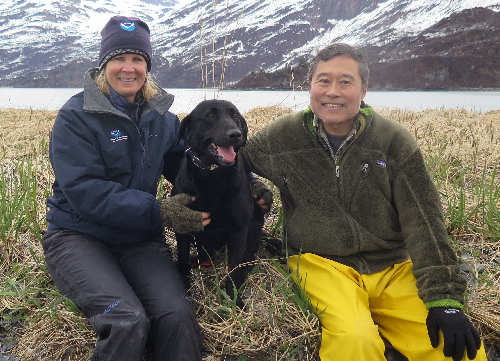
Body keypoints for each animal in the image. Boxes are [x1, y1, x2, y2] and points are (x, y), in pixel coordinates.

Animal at [173, 99, 266, 306]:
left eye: (236, 116)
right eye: (210, 115)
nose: (235, 135)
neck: (213, 176)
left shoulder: (239, 231)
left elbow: (233, 270)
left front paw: (233, 301)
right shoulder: (182, 228)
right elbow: (183, 262)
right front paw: (185, 292)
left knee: (246, 262)